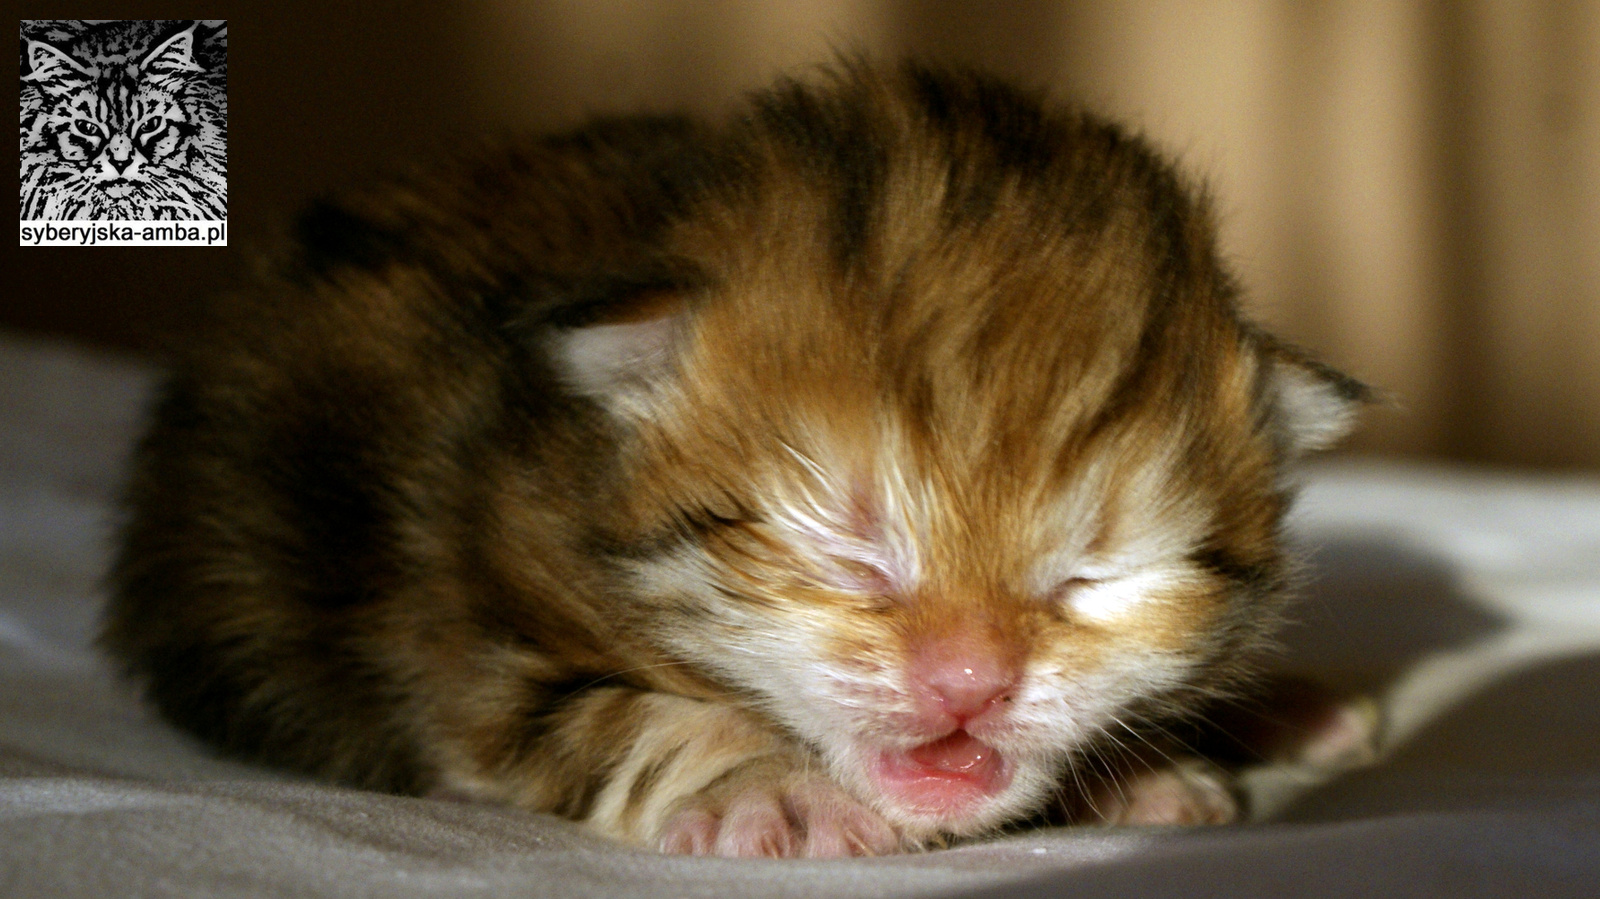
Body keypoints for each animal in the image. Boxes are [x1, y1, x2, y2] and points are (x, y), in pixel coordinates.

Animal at [103, 62, 1368, 857]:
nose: (968, 683)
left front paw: (1141, 766)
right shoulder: (451, 627)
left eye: (1091, 578)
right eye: (852, 551)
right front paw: (772, 785)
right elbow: (636, 715)